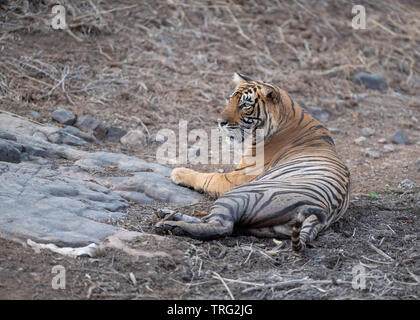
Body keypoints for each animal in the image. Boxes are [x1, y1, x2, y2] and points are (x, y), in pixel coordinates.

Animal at [156, 74, 350, 251]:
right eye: (230, 100)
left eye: (245, 105)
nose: (220, 122)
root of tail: (320, 211)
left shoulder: (238, 177)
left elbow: (209, 177)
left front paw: (179, 172)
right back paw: (166, 214)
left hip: (239, 194)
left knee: (221, 226)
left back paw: (170, 225)